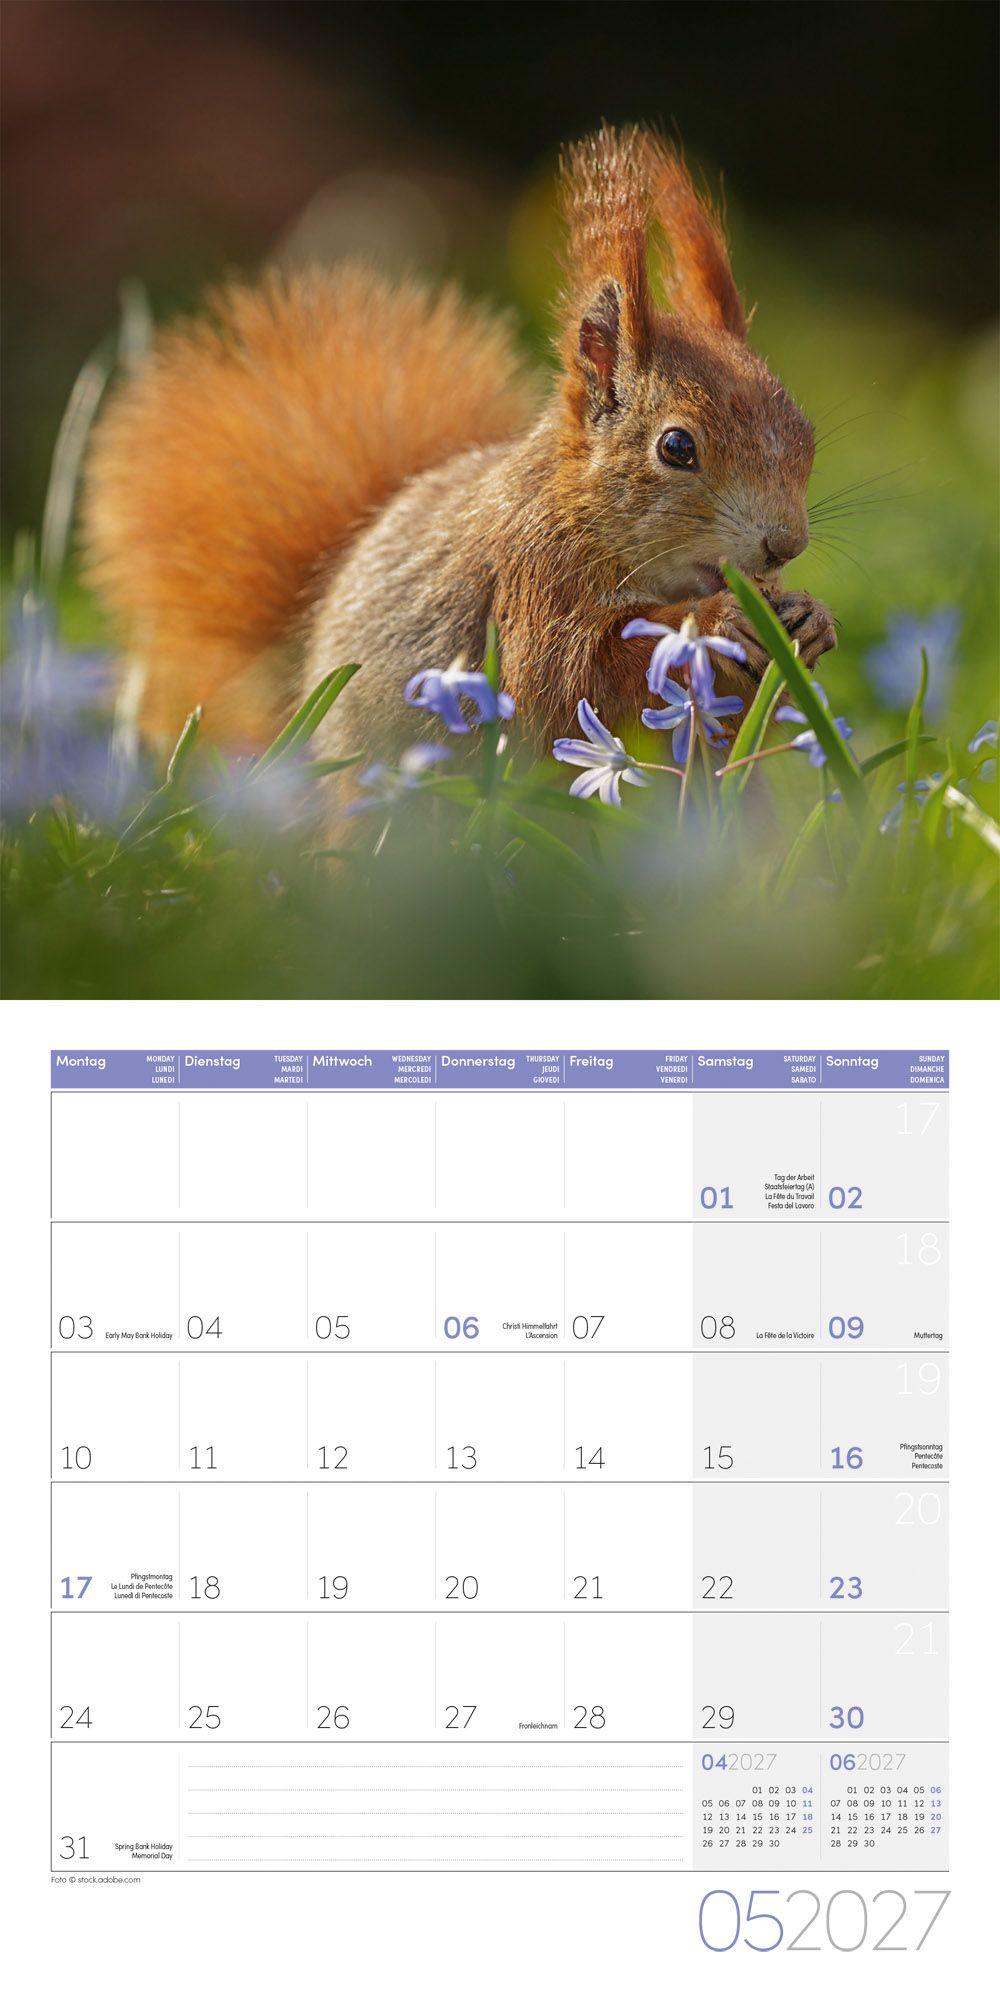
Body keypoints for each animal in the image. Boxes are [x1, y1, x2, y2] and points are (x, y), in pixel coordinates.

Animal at [83, 125, 836, 780]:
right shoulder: (532, 577)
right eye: (677, 447)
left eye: (805, 432)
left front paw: (809, 623)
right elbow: (564, 678)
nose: (785, 545)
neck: (581, 512)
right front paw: (720, 620)